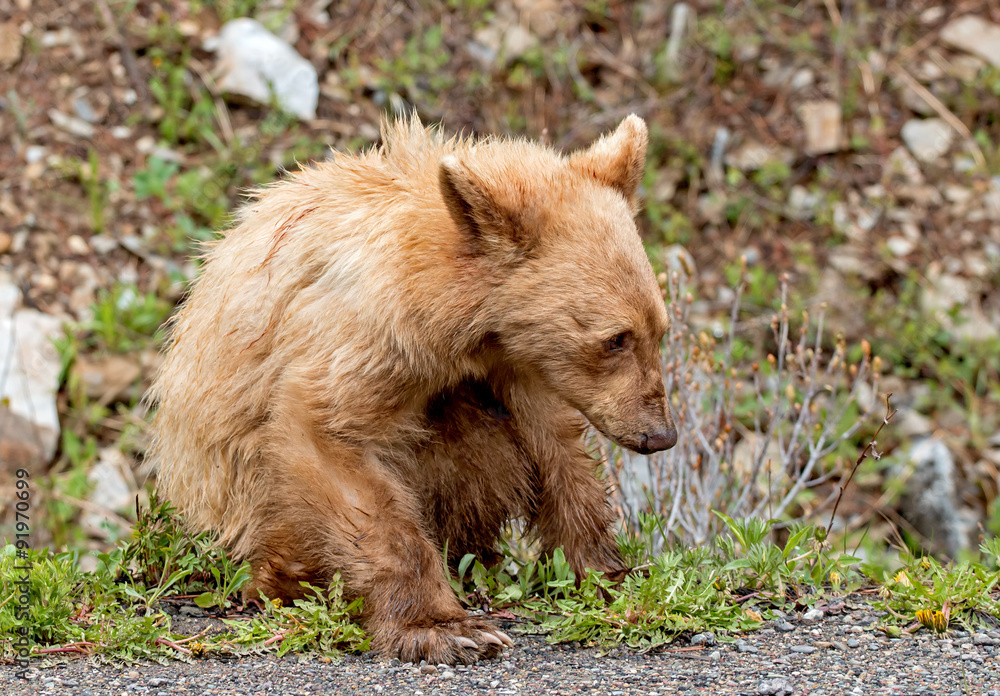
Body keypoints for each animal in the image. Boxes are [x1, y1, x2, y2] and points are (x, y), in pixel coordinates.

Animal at [147, 114, 677, 664]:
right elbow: (329, 435)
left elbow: (557, 447)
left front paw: (608, 570)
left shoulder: (517, 363)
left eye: (659, 329)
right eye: (615, 339)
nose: (660, 435)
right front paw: (445, 628)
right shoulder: (368, 333)